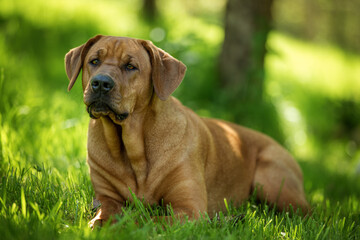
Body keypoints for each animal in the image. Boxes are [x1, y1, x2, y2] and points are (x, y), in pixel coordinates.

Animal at [64, 34, 310, 227]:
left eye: (130, 66)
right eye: (94, 61)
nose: (100, 83)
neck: (132, 147)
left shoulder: (189, 209)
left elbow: (146, 219)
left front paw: (124, 223)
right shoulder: (106, 197)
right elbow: (105, 212)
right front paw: (100, 222)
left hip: (271, 179)